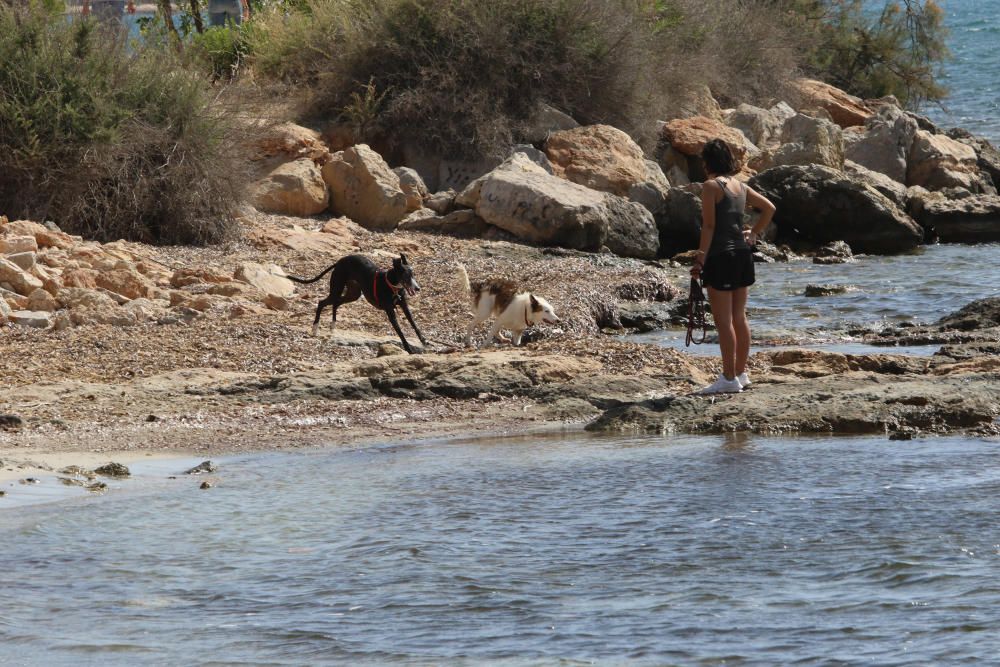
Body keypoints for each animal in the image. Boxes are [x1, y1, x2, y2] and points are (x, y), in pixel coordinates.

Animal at [290, 253, 430, 352]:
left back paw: (333, 325)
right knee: (321, 302)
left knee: (336, 303)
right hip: (337, 289)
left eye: (413, 275)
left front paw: (424, 341)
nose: (418, 288)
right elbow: (400, 331)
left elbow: (414, 324)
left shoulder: (404, 306)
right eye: (406, 276)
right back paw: (315, 328)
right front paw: (408, 348)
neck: (391, 284)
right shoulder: (390, 312)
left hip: (353, 294)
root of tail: (339, 261)